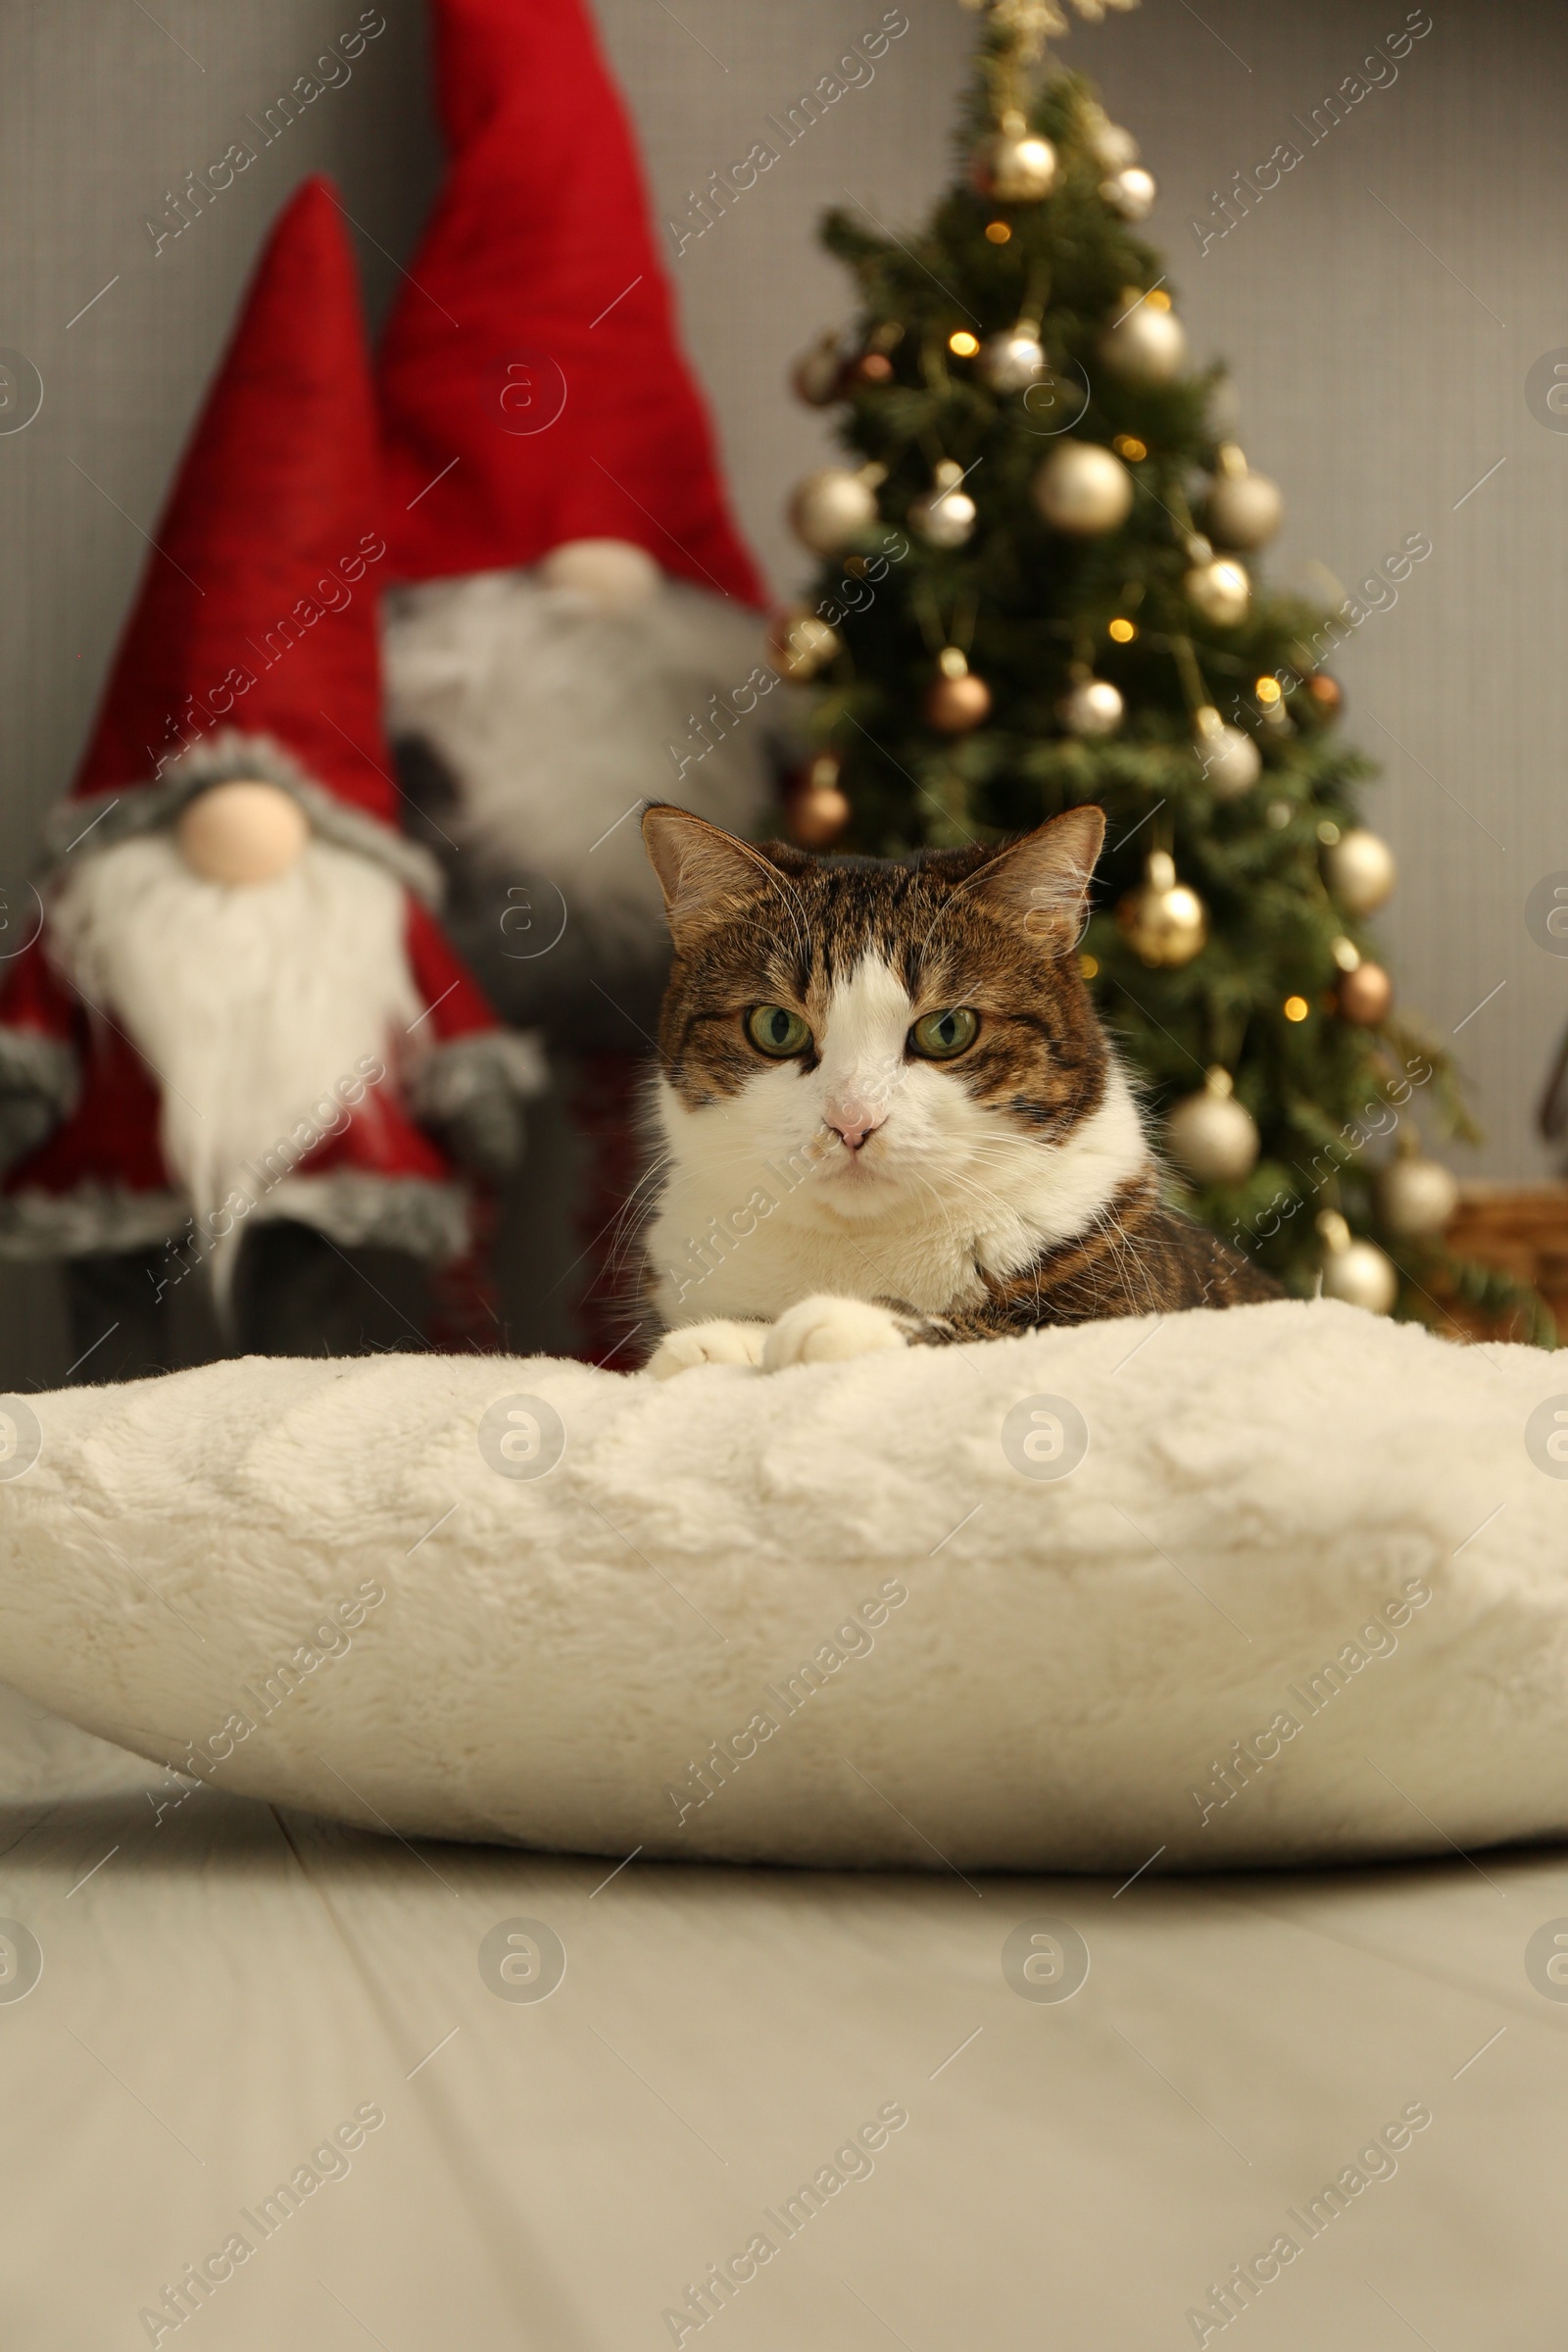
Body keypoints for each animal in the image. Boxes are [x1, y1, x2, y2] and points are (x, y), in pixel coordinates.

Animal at [629, 804, 1278, 1373]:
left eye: (947, 1029)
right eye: (776, 1027)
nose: (852, 1120)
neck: (861, 1246)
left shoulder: (1139, 1302)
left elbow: (1013, 1329)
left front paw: (836, 1322)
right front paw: (716, 1339)